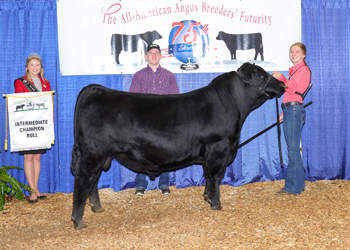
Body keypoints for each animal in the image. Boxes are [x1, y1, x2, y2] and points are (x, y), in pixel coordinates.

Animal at [70, 62, 284, 229]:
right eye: (259, 75)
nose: (282, 83)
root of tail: (96, 89)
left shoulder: (208, 156)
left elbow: (207, 177)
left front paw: (207, 198)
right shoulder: (219, 151)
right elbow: (216, 178)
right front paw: (216, 204)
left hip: (102, 156)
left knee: (94, 182)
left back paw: (97, 208)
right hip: (93, 154)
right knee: (83, 182)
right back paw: (78, 221)